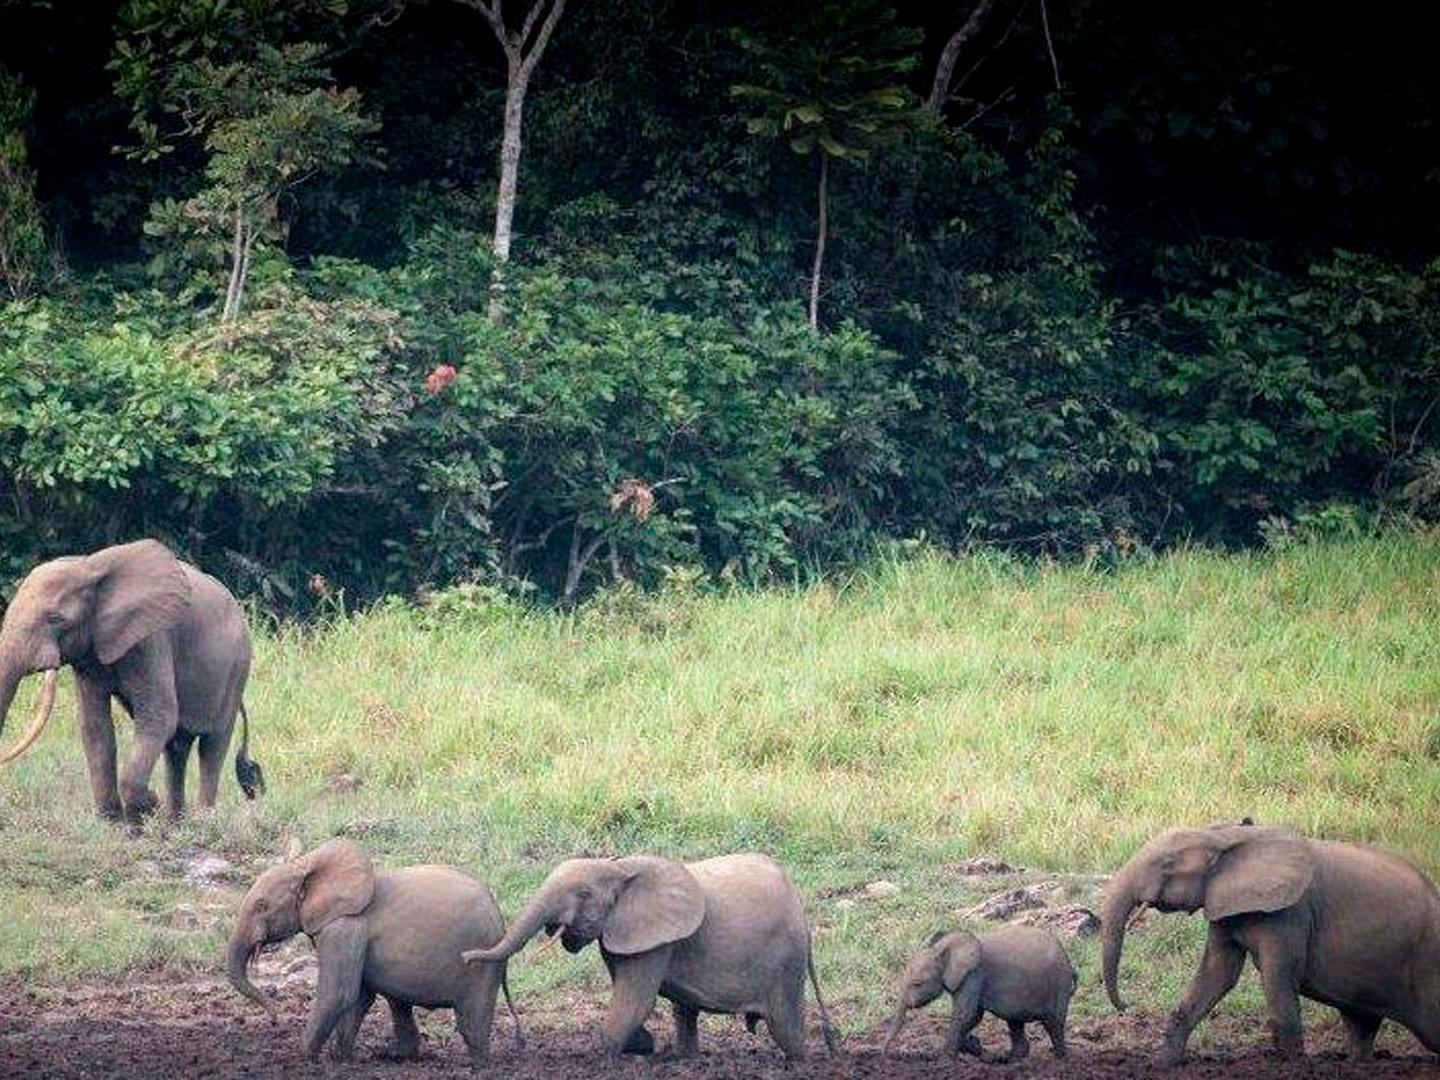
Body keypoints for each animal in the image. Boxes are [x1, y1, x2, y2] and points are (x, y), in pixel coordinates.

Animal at [0, 541, 262, 829]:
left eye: (56, 618)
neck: (88, 566)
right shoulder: (90, 654)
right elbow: (95, 726)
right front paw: (113, 823)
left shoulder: (151, 639)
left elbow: (158, 716)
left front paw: (146, 811)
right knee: (177, 747)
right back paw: (175, 824)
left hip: (237, 669)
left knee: (212, 745)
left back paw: (202, 823)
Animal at [221, 835, 521, 1065]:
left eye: (261, 905)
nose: (274, 1020)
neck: (308, 865)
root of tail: (500, 919)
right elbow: (358, 998)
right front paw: (340, 1058)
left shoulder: (346, 929)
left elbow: (338, 994)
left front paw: (303, 1058)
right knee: (399, 1002)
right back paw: (392, 1056)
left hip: (482, 964)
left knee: (471, 1022)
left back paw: (478, 1065)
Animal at [460, 852, 840, 1059]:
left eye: (583, 893)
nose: (465, 956)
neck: (619, 866)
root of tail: (799, 902)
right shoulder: (623, 932)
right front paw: (644, 1046)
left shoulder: (655, 939)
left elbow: (636, 998)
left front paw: (618, 1053)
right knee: (685, 1012)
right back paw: (687, 1058)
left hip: (786, 958)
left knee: (784, 1025)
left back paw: (797, 1061)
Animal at [881, 921, 1077, 1065]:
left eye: (917, 984)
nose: (886, 1055)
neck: (943, 949)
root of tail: (1070, 964)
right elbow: (973, 1016)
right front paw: (974, 1046)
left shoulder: (973, 975)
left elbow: (966, 1014)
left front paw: (944, 1061)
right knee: (1015, 1022)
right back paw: (1012, 1059)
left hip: (1059, 984)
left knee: (1053, 1023)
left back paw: (1059, 1060)